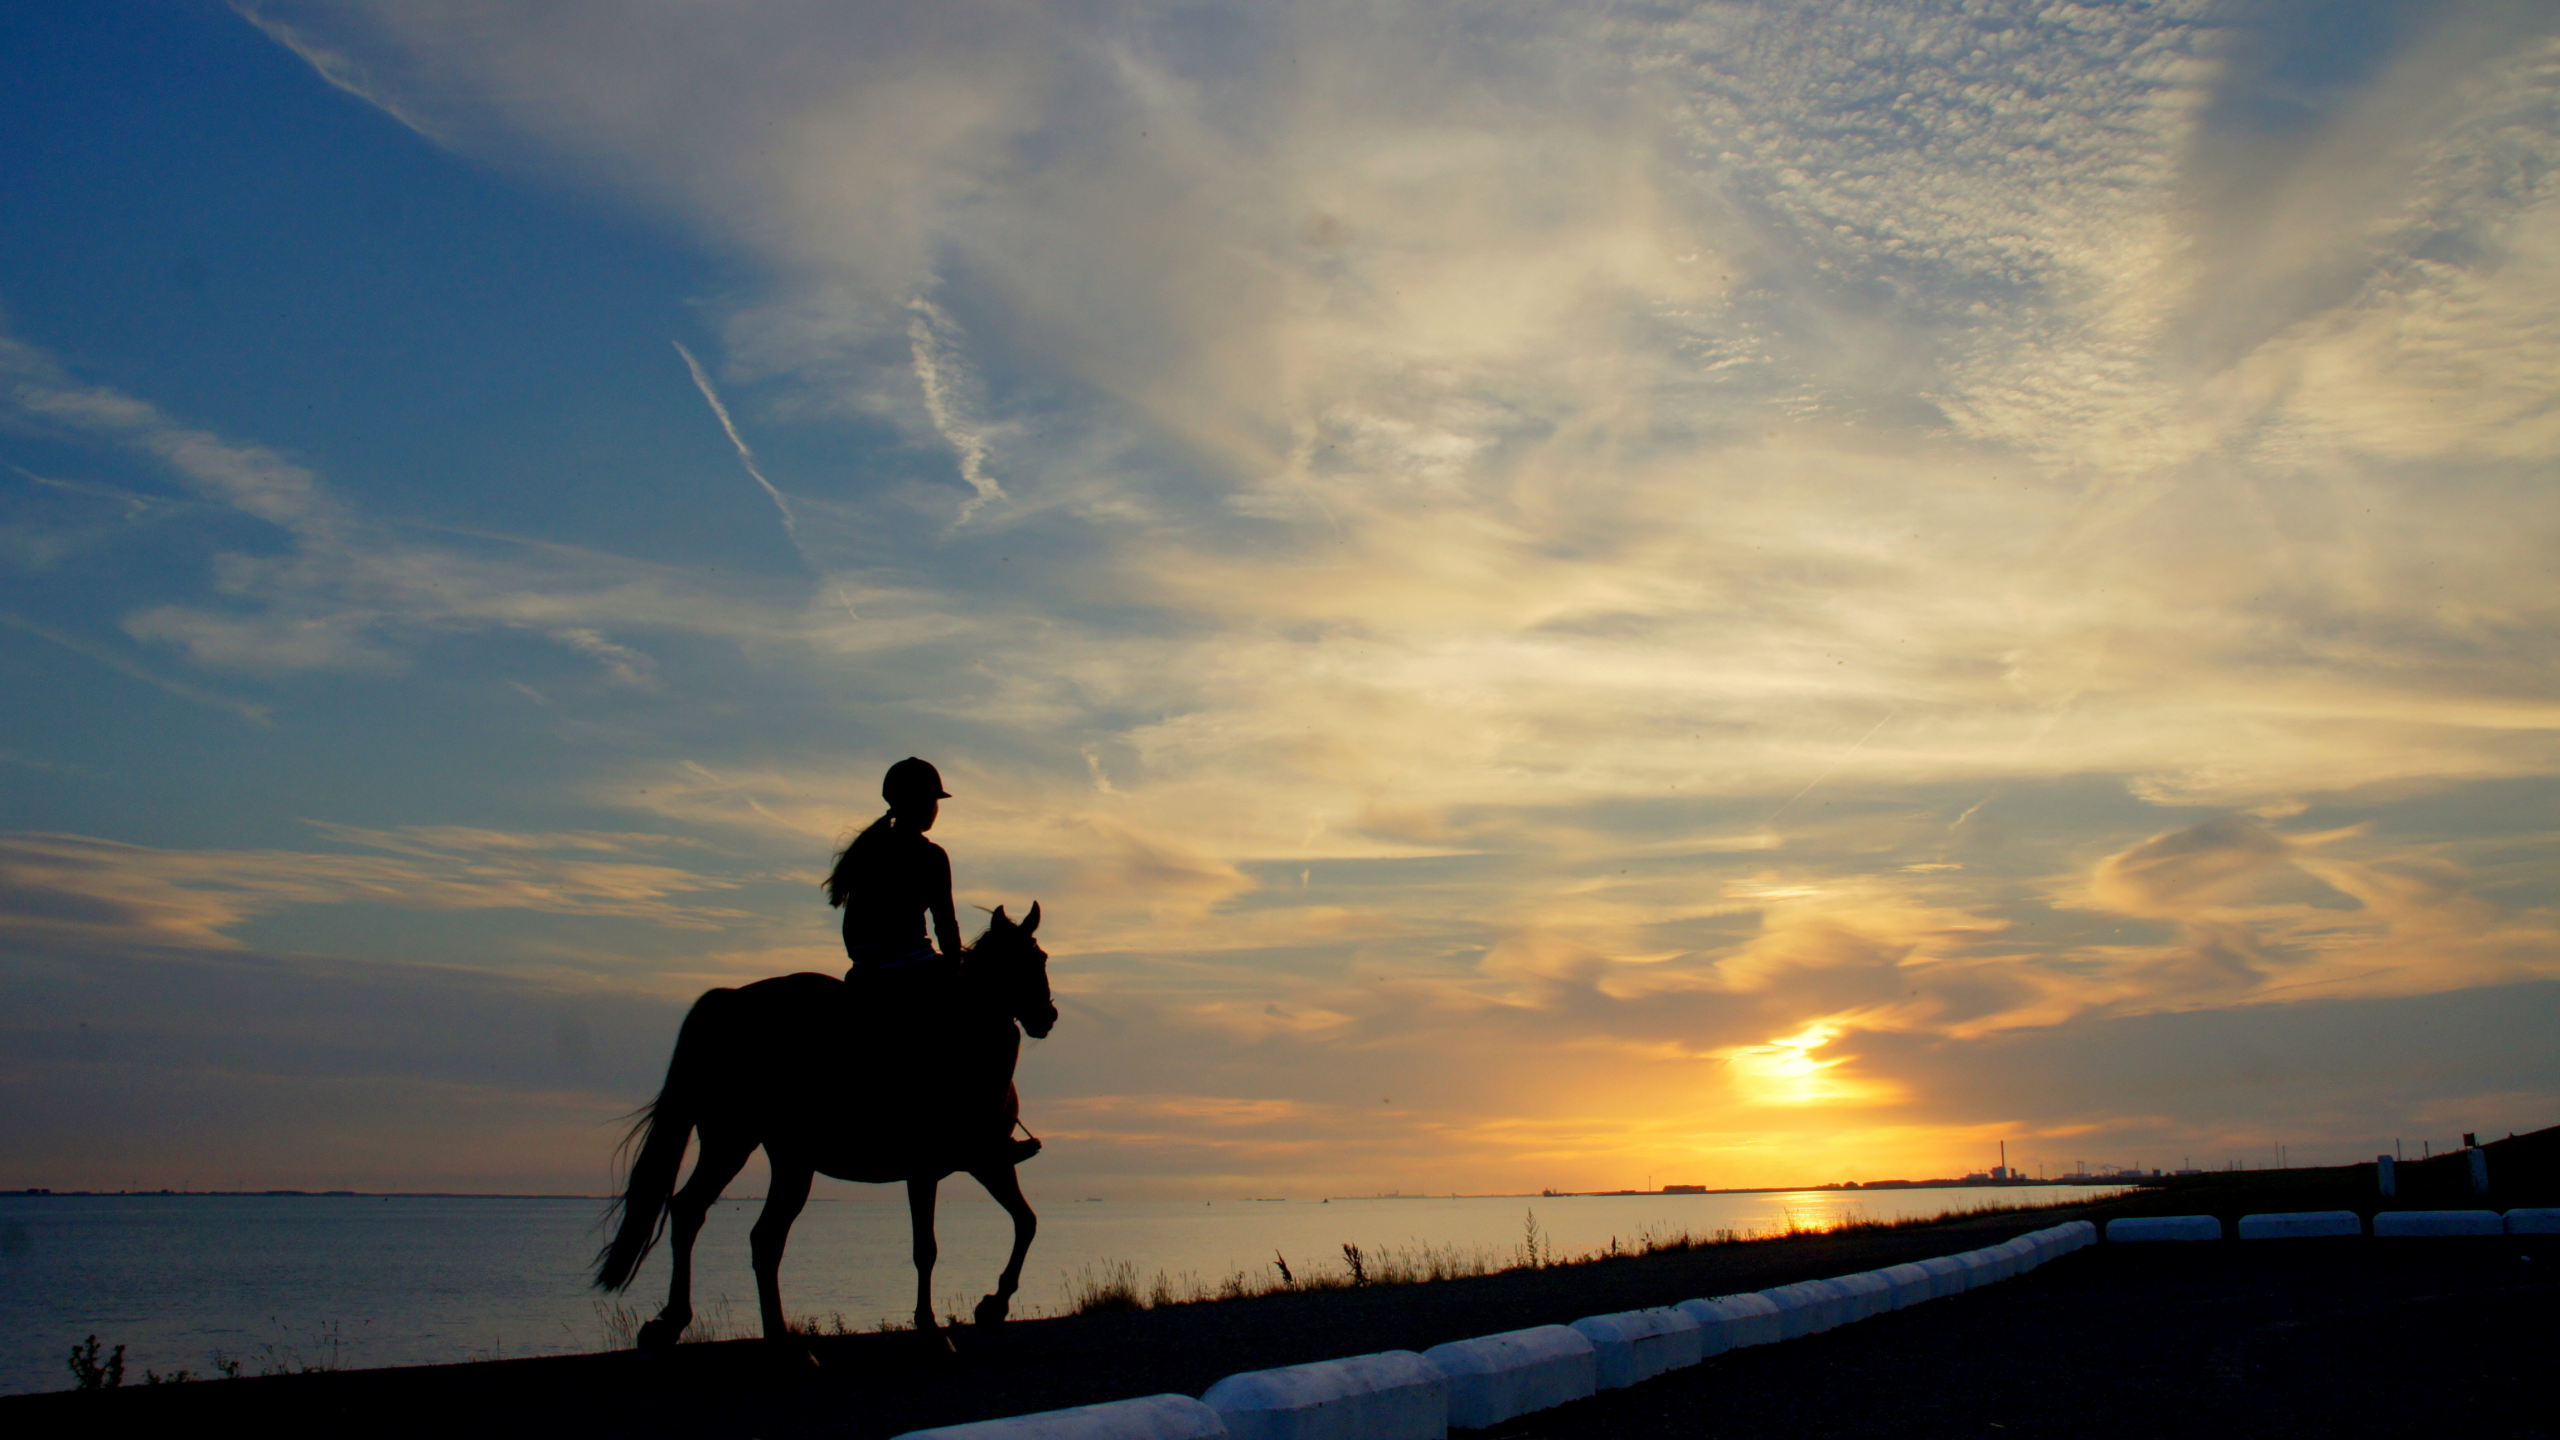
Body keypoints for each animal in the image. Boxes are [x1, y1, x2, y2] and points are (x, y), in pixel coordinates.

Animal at [588, 896, 1049, 1342]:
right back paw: (729, 1329)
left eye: (1041, 958)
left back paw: (714, 1326)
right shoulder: (923, 1169)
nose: (1047, 1016)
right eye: (1018, 963)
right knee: (723, 1222)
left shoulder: (988, 1163)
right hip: (745, 1144)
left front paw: (993, 1306)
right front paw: (930, 1323)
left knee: (728, 1225)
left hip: (767, 1151)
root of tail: (729, 1001)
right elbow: (926, 1249)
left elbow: (1026, 1222)